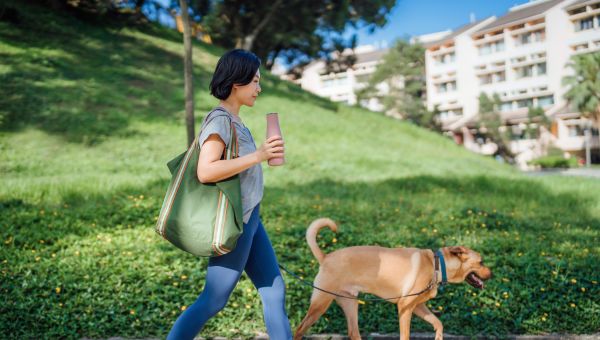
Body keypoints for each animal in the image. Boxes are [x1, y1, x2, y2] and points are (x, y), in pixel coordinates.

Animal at [292, 218, 492, 340]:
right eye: (481, 262)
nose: (492, 274)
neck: (436, 265)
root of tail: (325, 257)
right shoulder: (404, 307)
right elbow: (406, 335)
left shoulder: (417, 306)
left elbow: (438, 323)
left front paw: (439, 336)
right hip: (320, 304)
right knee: (299, 329)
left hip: (350, 303)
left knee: (353, 333)